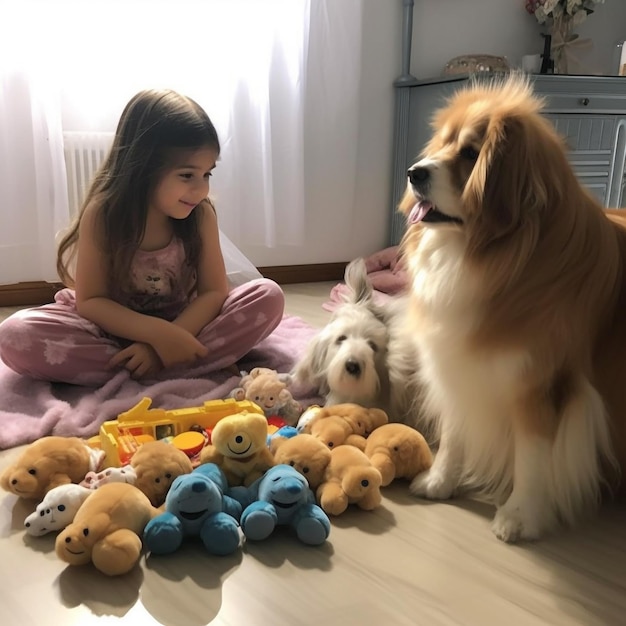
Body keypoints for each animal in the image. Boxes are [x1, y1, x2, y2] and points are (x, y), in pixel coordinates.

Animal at [400, 74, 624, 540]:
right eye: (443, 144)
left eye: (471, 153)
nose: (413, 172)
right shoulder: (457, 362)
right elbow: (455, 430)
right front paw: (441, 481)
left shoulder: (544, 386)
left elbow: (533, 457)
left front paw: (520, 516)